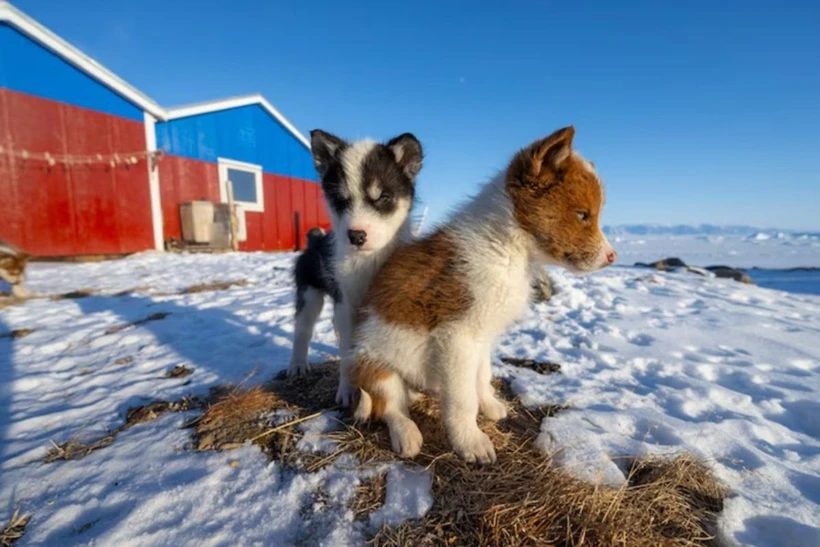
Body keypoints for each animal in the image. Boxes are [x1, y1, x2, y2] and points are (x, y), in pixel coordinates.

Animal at [286, 130, 422, 406]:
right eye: (340, 200)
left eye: (383, 197)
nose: (356, 236)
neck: (370, 260)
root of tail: (313, 239)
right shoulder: (346, 303)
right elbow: (348, 350)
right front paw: (347, 391)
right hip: (309, 294)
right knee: (302, 330)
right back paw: (297, 364)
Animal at [348, 127, 616, 462]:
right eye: (582, 214)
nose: (612, 257)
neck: (506, 246)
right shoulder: (457, 337)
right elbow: (463, 399)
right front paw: (471, 442)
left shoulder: (482, 336)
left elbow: (482, 376)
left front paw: (489, 405)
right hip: (373, 366)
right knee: (390, 407)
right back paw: (407, 435)